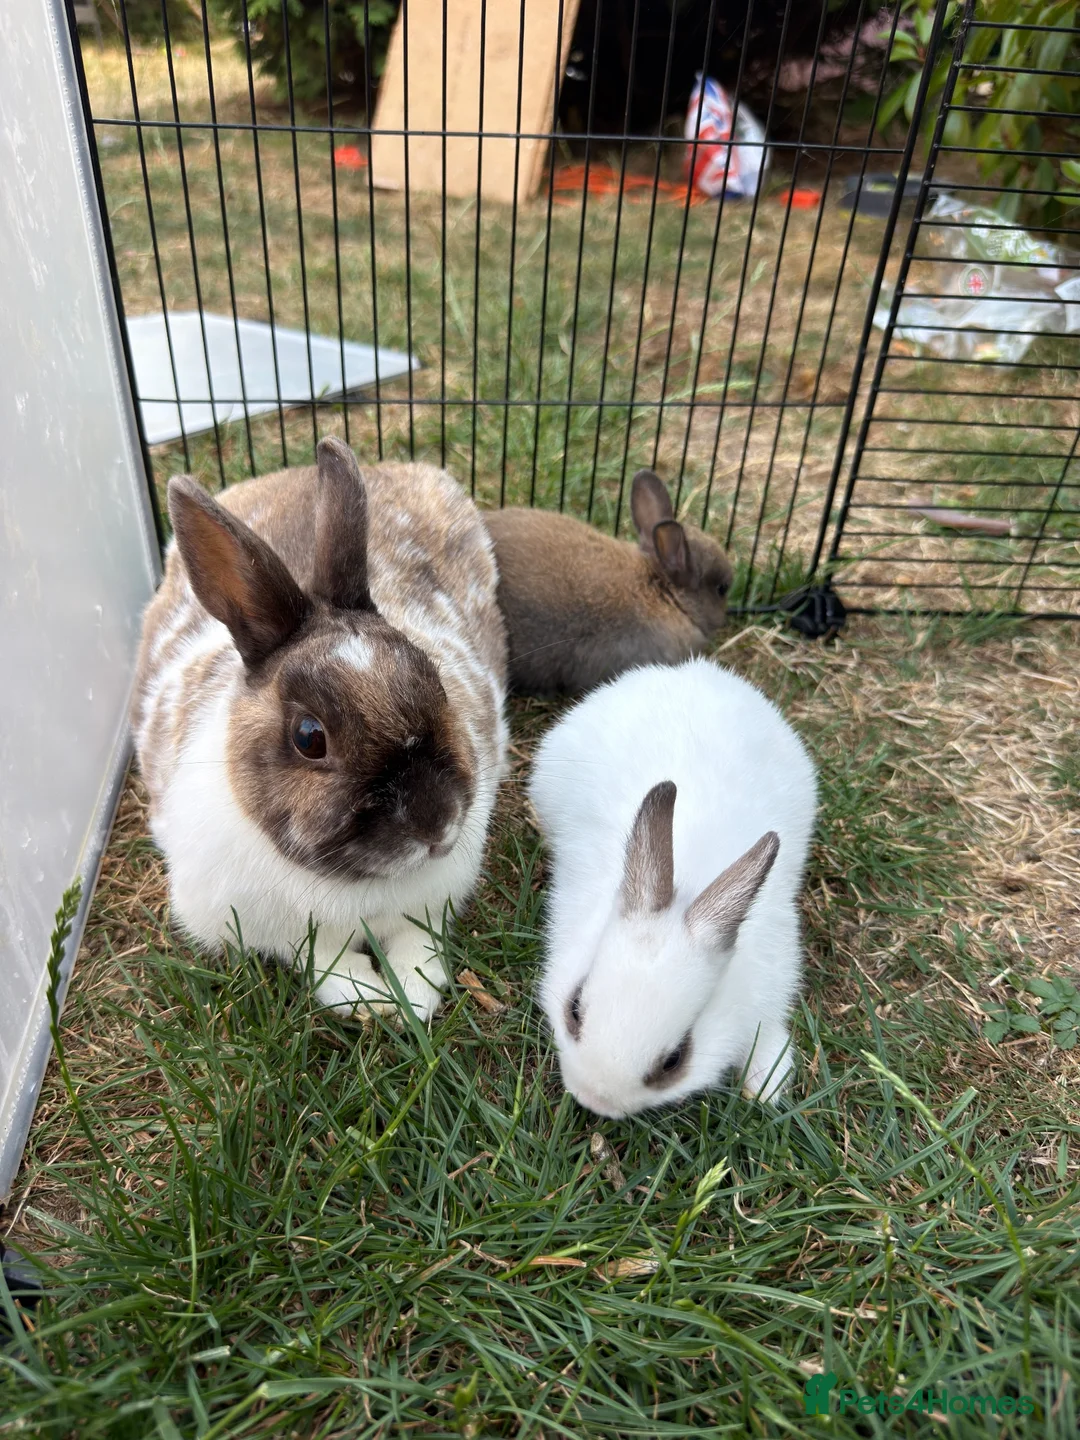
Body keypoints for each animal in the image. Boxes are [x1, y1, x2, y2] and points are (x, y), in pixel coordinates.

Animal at [132, 437, 508, 1022]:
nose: (437, 823)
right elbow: (322, 961)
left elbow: (420, 947)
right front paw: (369, 998)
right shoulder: (275, 932)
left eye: (436, 680)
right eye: (309, 738)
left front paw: (412, 995)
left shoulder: (430, 908)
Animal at [527, 656, 817, 1118]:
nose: (594, 1099)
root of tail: (689, 671)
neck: (689, 889)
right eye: (574, 1008)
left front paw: (767, 1086)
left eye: (675, 1059)